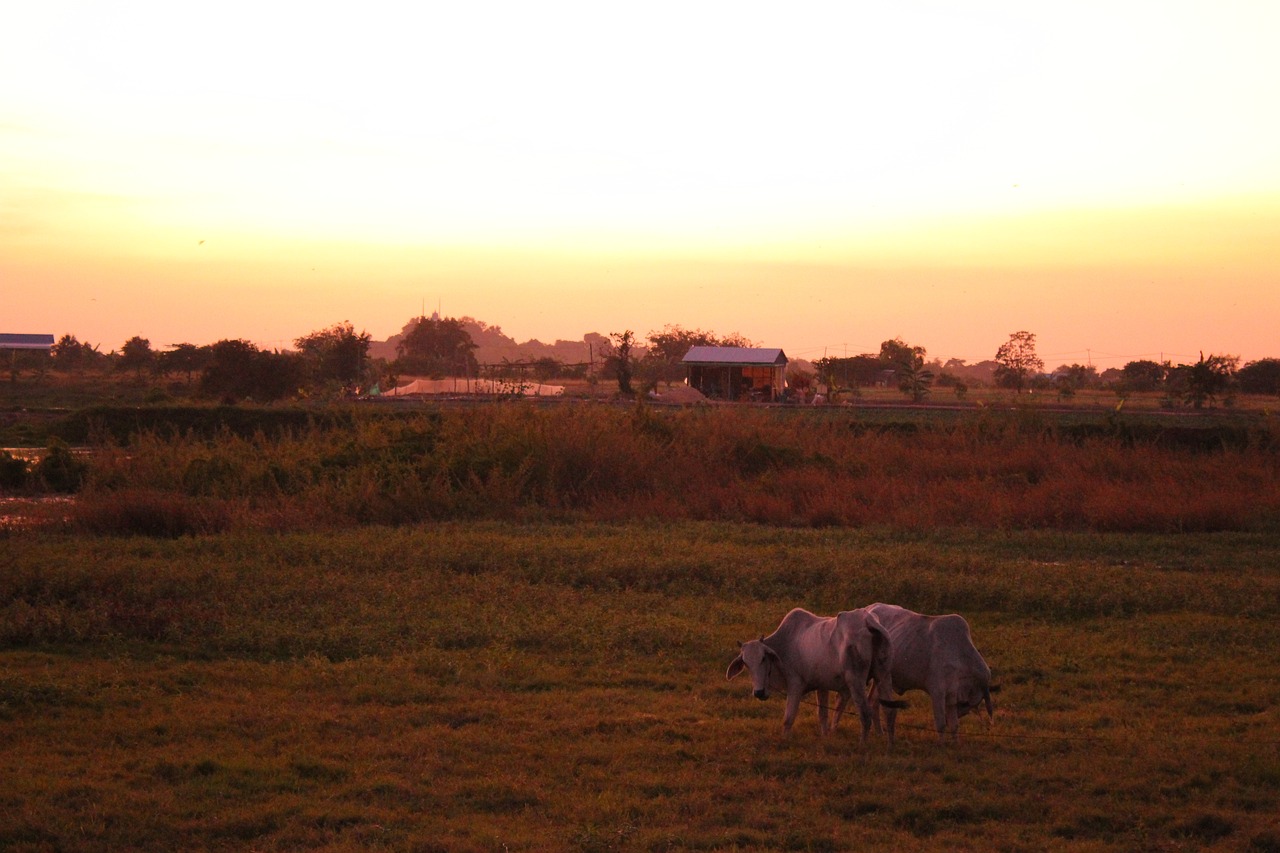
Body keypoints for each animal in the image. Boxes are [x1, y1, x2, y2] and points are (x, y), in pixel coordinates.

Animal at [726, 607, 903, 741]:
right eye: (746, 663)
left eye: (763, 658)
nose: (759, 692)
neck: (785, 644)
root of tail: (868, 621)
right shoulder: (821, 685)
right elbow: (822, 715)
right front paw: (825, 737)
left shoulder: (795, 684)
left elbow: (789, 717)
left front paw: (785, 739)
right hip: (883, 674)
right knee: (890, 711)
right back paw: (890, 745)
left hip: (855, 679)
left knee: (865, 714)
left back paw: (863, 746)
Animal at [864, 602, 995, 744]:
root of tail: (870, 607)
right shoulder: (937, 692)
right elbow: (940, 724)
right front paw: (941, 744)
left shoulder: (952, 695)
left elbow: (954, 725)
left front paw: (956, 743)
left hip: (881, 679)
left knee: (874, 702)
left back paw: (880, 733)